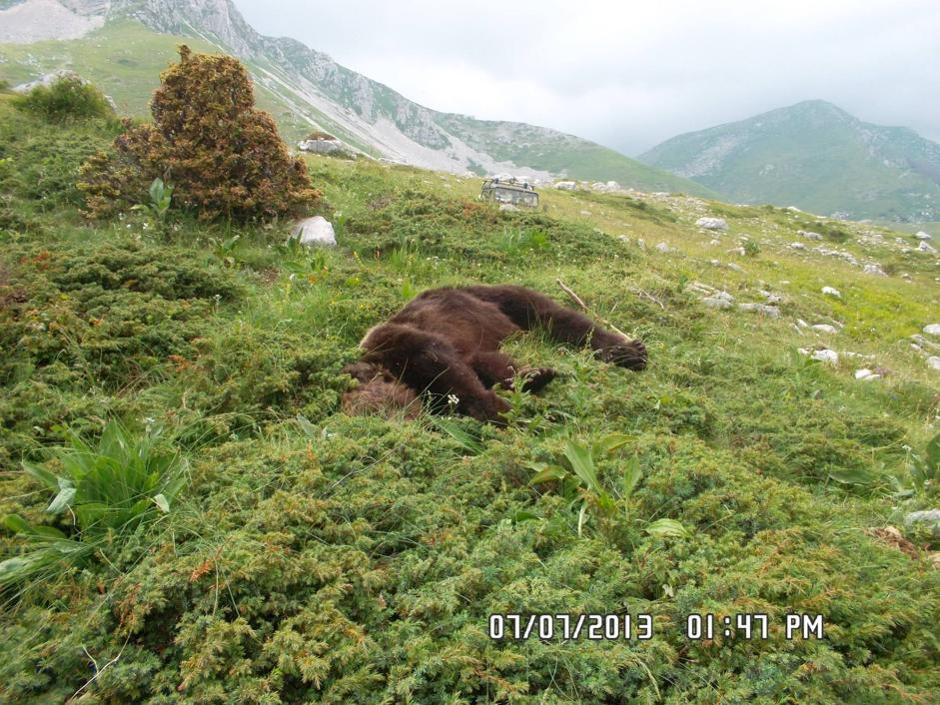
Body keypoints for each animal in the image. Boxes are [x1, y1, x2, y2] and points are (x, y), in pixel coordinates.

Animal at [342, 282, 648, 424]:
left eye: (380, 411)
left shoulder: (403, 342)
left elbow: (451, 370)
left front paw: (519, 412)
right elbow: (487, 365)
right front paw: (533, 378)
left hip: (498, 299)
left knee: (556, 317)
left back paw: (629, 352)